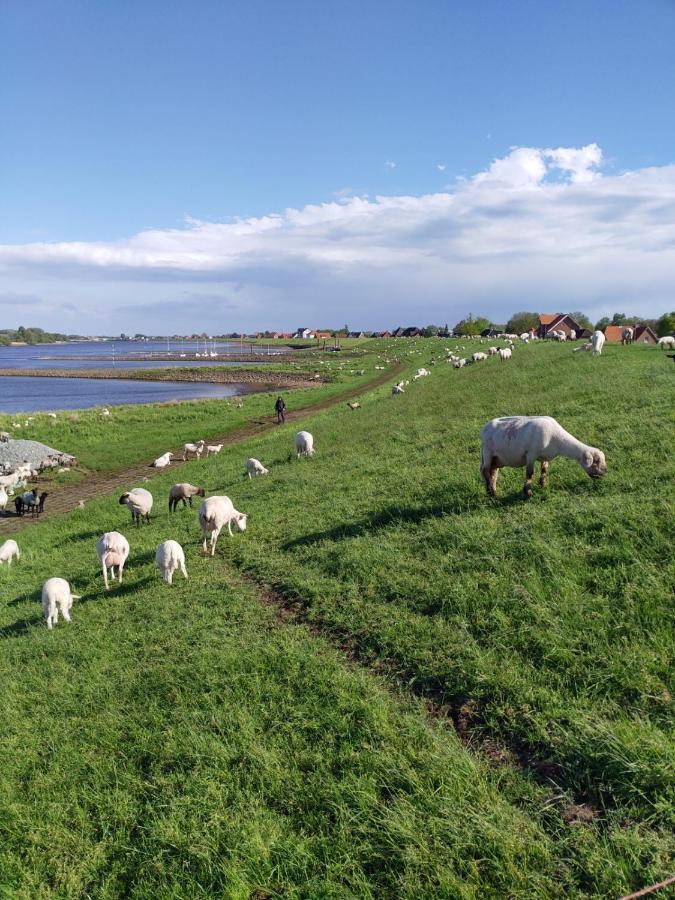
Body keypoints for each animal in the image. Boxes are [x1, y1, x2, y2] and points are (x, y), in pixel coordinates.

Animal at [478, 414, 608, 500]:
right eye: (596, 461)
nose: (604, 473)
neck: (557, 440)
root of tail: (485, 428)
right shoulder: (531, 454)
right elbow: (530, 473)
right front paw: (528, 493)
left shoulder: (545, 457)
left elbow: (544, 469)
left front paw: (543, 485)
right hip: (488, 452)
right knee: (485, 471)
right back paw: (491, 493)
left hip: (496, 459)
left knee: (493, 473)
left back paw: (492, 491)